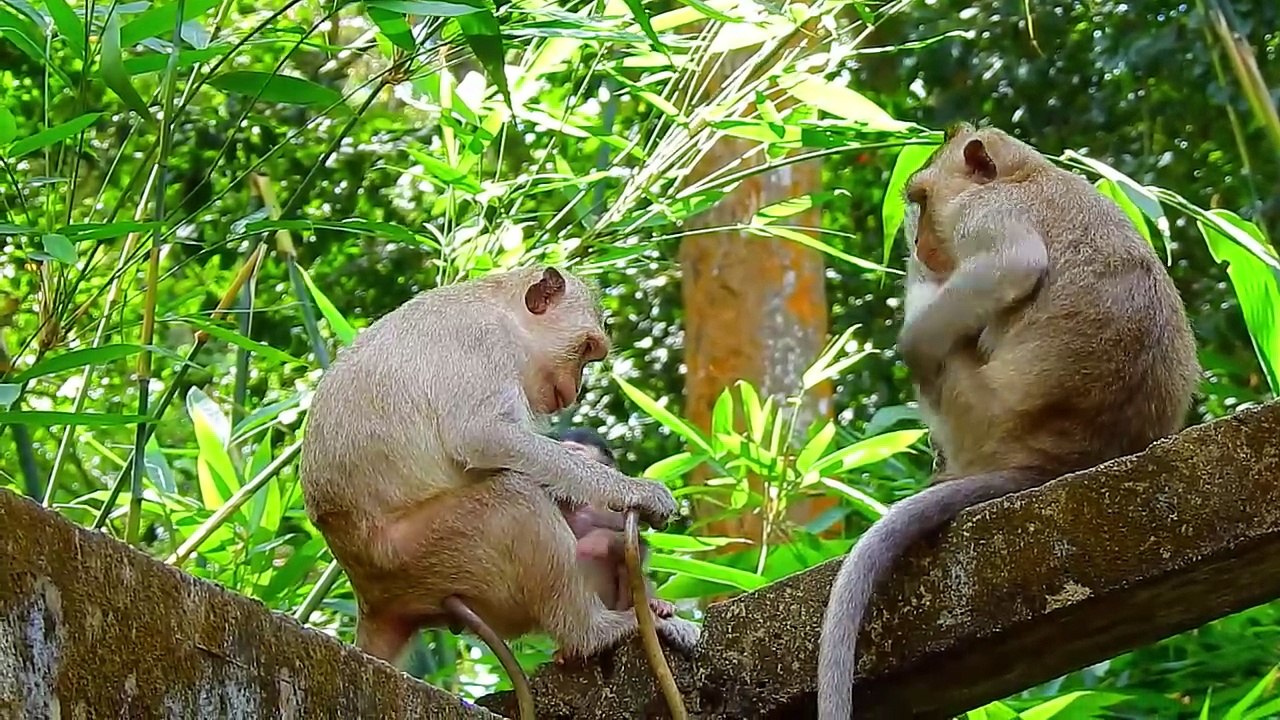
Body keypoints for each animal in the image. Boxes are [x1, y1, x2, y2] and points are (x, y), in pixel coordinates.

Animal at [298, 266, 700, 681]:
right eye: (587, 349)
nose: (576, 389)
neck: (503, 310)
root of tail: (369, 596)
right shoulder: (485, 343)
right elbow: (484, 435)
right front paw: (636, 491)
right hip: (413, 555)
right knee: (515, 498)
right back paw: (596, 631)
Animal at [816, 124, 1200, 720]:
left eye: (922, 199)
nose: (919, 245)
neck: (1026, 174)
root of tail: (1057, 460)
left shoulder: (986, 213)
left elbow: (1013, 267)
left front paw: (911, 344)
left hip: (975, 411)